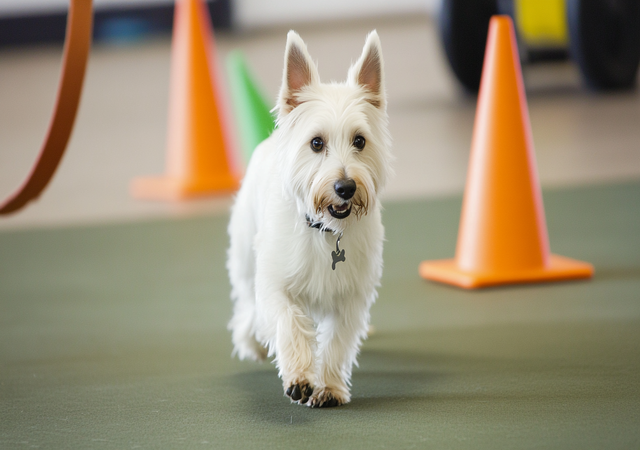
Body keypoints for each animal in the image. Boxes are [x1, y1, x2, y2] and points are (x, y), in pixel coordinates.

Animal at [228, 29, 392, 406]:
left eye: (360, 141)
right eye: (316, 143)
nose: (345, 187)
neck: (326, 230)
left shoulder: (350, 298)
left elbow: (337, 342)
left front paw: (328, 386)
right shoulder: (276, 285)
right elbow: (289, 324)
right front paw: (300, 377)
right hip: (245, 259)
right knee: (246, 305)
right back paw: (251, 343)